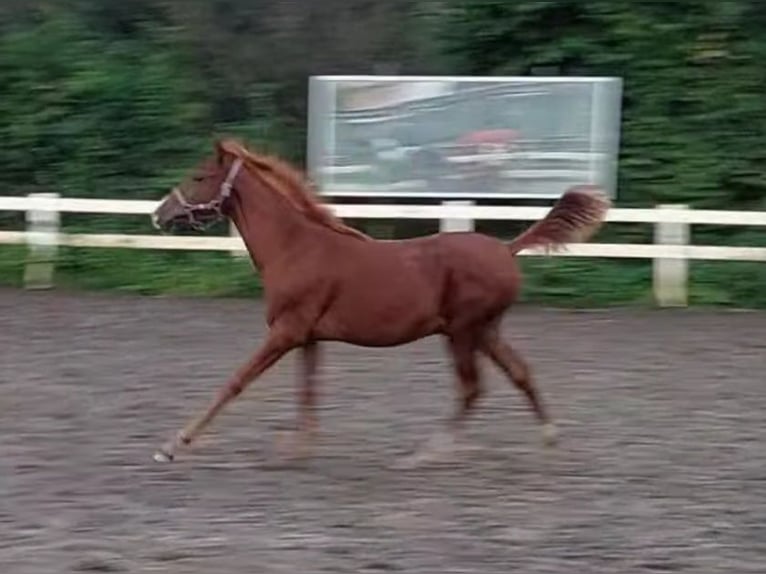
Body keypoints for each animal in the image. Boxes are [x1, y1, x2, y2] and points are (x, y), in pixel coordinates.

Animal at [152, 140, 612, 468]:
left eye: (198, 176)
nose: (159, 214)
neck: (296, 247)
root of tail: (506, 249)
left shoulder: (285, 332)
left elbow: (235, 382)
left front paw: (173, 444)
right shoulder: (308, 337)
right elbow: (308, 391)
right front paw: (298, 449)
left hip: (463, 331)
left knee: (471, 388)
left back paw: (426, 453)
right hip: (485, 330)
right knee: (519, 374)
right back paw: (549, 436)